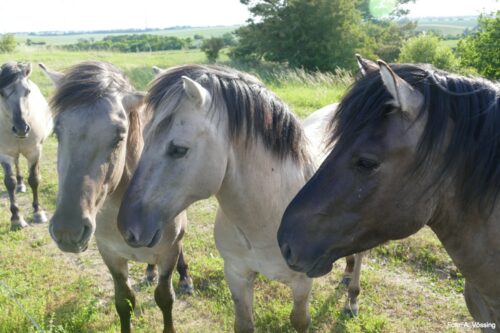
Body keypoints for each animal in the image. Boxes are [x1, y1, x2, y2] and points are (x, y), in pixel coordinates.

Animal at [0, 61, 52, 230]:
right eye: (1, 93)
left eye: (28, 91)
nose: (22, 128)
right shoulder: (5, 154)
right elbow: (9, 182)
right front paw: (16, 218)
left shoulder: (34, 152)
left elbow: (34, 179)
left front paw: (38, 212)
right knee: (17, 164)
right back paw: (20, 184)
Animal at [40, 62, 193, 332]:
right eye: (57, 131)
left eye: (119, 135)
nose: (68, 232)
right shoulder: (110, 255)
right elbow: (124, 301)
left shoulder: (169, 252)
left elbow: (165, 297)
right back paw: (149, 271)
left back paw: (185, 278)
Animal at [116, 63, 368, 330]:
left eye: (179, 149)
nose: (127, 228)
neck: (268, 218)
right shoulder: (237, 274)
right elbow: (244, 323)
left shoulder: (302, 284)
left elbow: (300, 321)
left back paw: (352, 298)